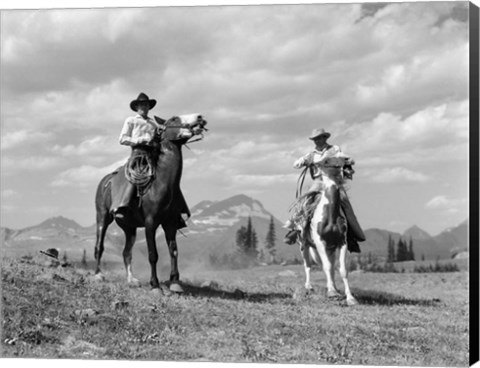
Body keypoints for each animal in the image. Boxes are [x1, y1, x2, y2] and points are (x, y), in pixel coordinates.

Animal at [94, 115, 206, 294]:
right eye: (174, 119)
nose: (200, 117)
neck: (161, 184)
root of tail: (105, 181)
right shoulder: (150, 223)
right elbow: (153, 254)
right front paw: (155, 285)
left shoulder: (170, 223)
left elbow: (174, 251)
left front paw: (175, 283)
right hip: (102, 217)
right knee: (99, 246)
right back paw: (98, 275)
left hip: (129, 228)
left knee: (126, 252)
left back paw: (132, 280)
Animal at [298, 154, 358, 306]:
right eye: (326, 161)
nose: (348, 161)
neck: (330, 215)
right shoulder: (320, 243)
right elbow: (326, 267)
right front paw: (331, 292)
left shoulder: (342, 243)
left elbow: (341, 270)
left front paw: (350, 298)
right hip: (304, 245)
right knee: (308, 265)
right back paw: (309, 286)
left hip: (330, 249)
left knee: (330, 268)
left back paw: (334, 288)